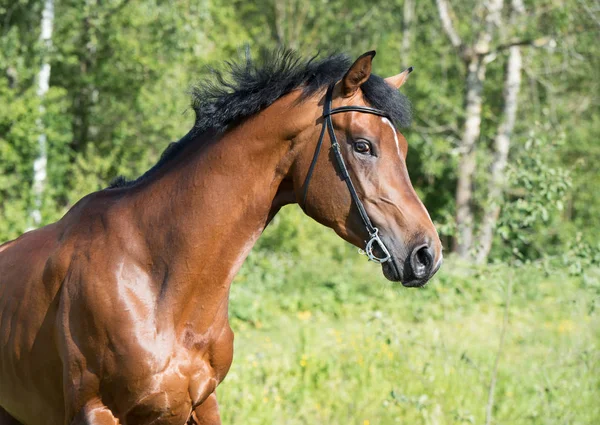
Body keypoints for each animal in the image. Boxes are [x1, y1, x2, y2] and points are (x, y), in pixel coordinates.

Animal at [0, 50, 440, 424]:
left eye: (402, 147)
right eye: (363, 146)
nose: (426, 255)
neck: (159, 283)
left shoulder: (203, 403)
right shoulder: (95, 410)